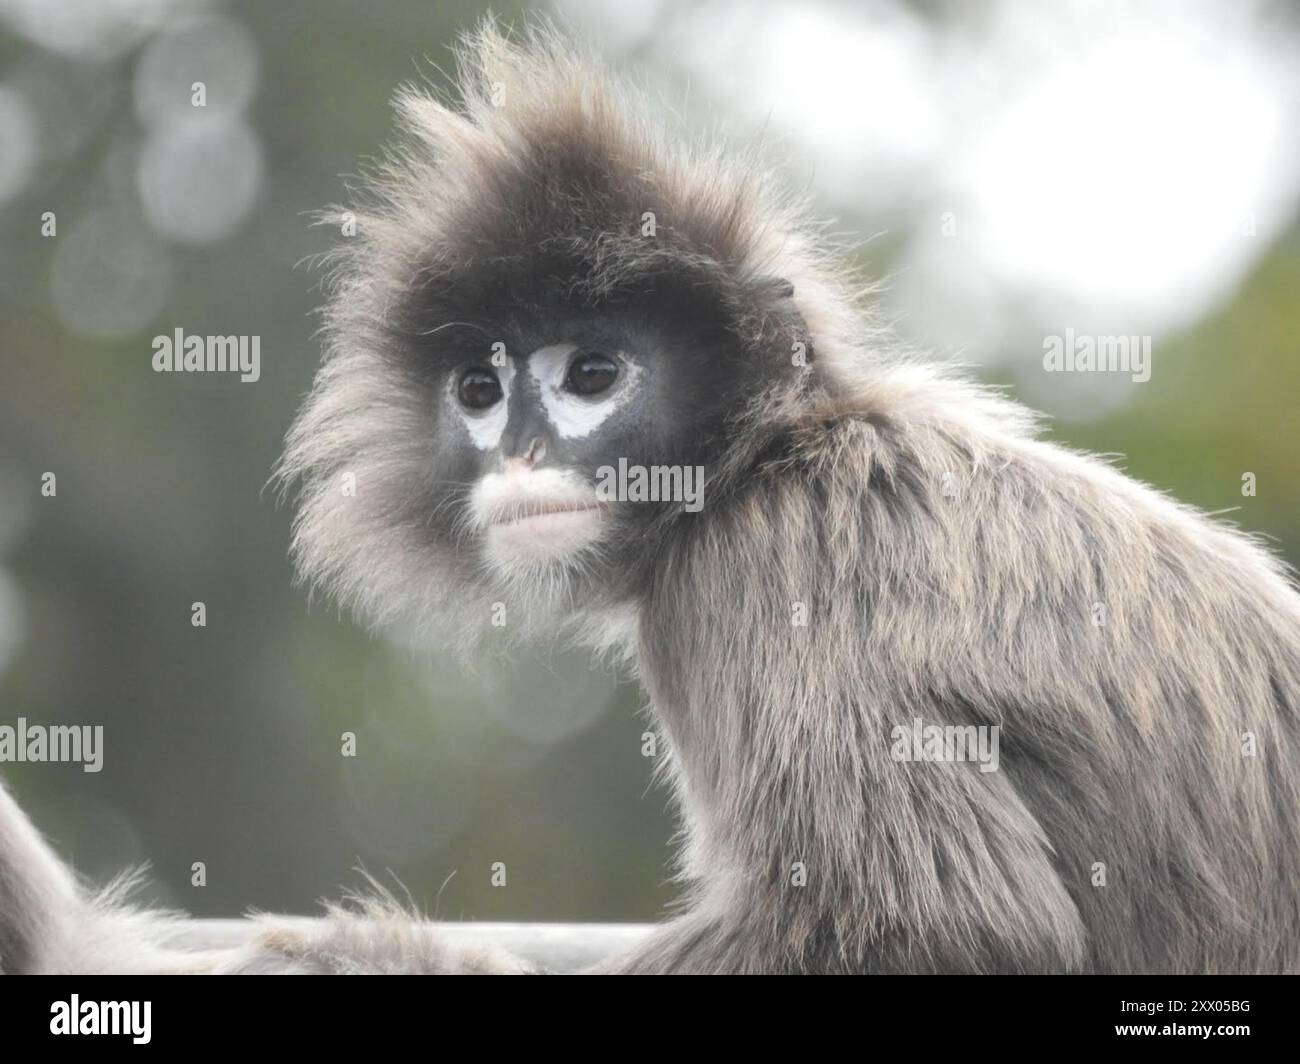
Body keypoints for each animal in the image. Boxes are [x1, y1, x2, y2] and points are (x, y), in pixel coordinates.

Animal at [1, 20, 1298, 975]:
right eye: (481, 390)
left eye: (591, 376)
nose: (520, 455)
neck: (762, 465)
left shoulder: (760, 580)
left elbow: (941, 920)